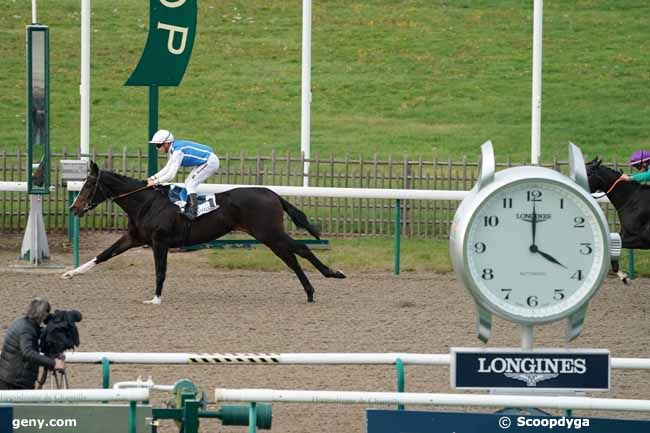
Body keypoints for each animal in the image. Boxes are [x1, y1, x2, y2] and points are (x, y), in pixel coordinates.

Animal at [64, 162, 344, 304]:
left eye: (89, 185)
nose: (73, 208)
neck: (145, 203)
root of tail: (272, 193)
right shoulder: (135, 238)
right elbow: (104, 254)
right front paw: (70, 273)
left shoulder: (159, 241)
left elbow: (160, 270)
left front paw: (156, 298)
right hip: (269, 236)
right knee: (291, 257)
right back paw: (310, 291)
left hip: (269, 233)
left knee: (301, 250)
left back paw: (333, 274)